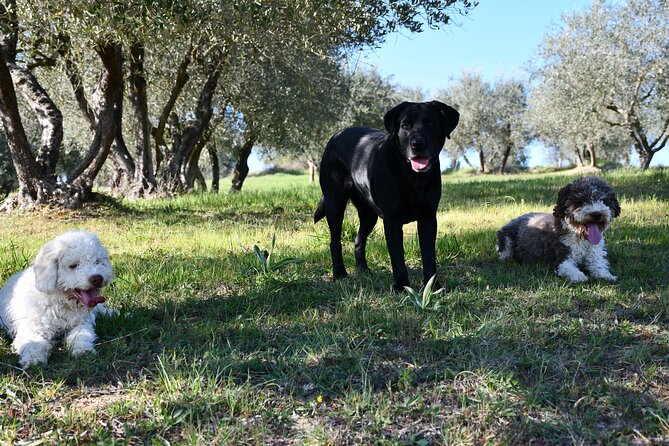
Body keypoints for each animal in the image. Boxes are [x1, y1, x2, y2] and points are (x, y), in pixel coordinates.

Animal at [0, 230, 115, 370]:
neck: (61, 302)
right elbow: (33, 344)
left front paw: (83, 350)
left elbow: (82, 335)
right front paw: (34, 360)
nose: (97, 278)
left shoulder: (82, 323)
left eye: (97, 261)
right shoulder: (31, 328)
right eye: (73, 266)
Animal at [314, 101, 460, 290]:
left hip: (369, 214)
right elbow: (397, 257)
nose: (417, 144)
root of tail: (336, 135)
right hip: (335, 204)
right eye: (405, 125)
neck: (412, 177)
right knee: (335, 241)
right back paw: (339, 274)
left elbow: (429, 256)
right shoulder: (392, 220)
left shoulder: (428, 218)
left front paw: (432, 286)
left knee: (359, 239)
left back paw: (363, 270)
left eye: (430, 124)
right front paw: (401, 286)